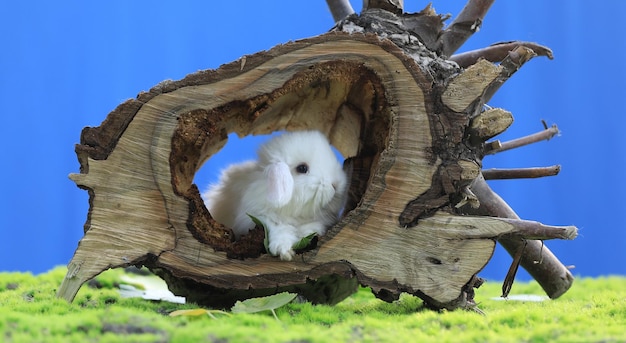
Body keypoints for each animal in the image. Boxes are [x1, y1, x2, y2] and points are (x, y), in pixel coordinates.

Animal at [202, 131, 346, 260]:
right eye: (302, 168)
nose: (336, 185)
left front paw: (309, 233)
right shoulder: (260, 218)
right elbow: (279, 230)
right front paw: (284, 251)